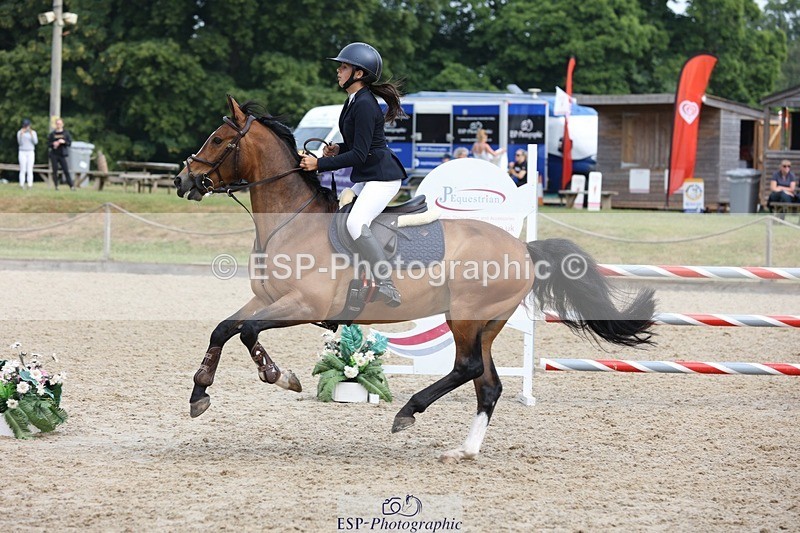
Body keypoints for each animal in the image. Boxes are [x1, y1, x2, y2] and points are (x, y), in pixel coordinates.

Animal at [173, 95, 656, 463]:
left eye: (218, 140)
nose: (182, 180)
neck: (291, 221)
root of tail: (524, 249)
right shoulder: (268, 298)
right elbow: (224, 329)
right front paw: (199, 394)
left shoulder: (304, 305)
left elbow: (248, 332)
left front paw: (278, 375)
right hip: (487, 324)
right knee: (488, 385)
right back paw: (464, 450)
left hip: (465, 317)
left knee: (468, 368)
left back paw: (409, 411)